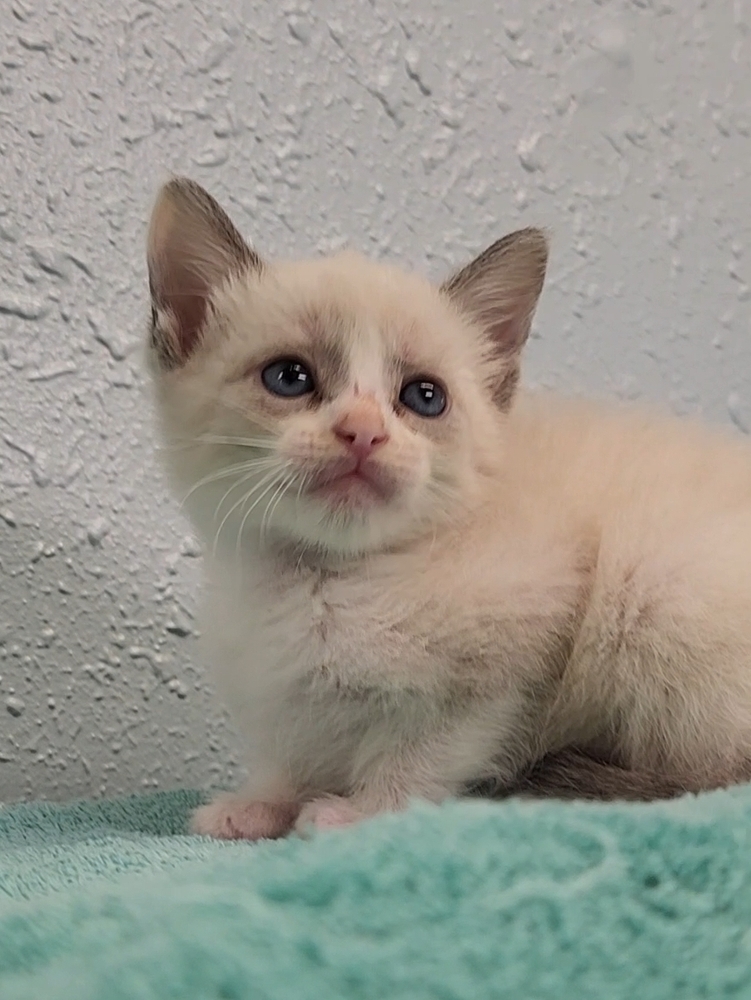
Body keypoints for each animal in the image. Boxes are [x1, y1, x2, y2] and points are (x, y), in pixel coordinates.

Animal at [147, 178, 751, 836]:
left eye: (424, 397)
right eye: (289, 377)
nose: (363, 433)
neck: (323, 580)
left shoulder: (503, 665)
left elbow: (418, 754)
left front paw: (358, 814)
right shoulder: (283, 693)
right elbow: (290, 752)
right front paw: (259, 805)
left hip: (662, 587)